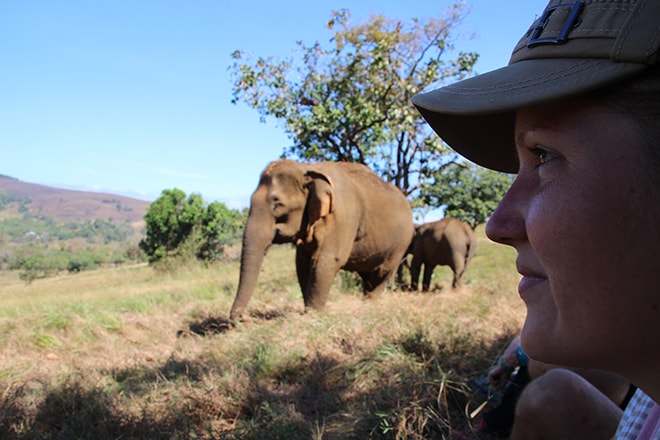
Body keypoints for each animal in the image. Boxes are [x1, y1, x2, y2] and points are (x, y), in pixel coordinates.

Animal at [228, 160, 412, 322]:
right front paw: (309, 311)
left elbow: (326, 259)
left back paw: (369, 305)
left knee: (383, 271)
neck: (308, 168)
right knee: (368, 275)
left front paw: (312, 315)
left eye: (277, 205)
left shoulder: (343, 216)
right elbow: (302, 262)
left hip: (401, 242)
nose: (244, 318)